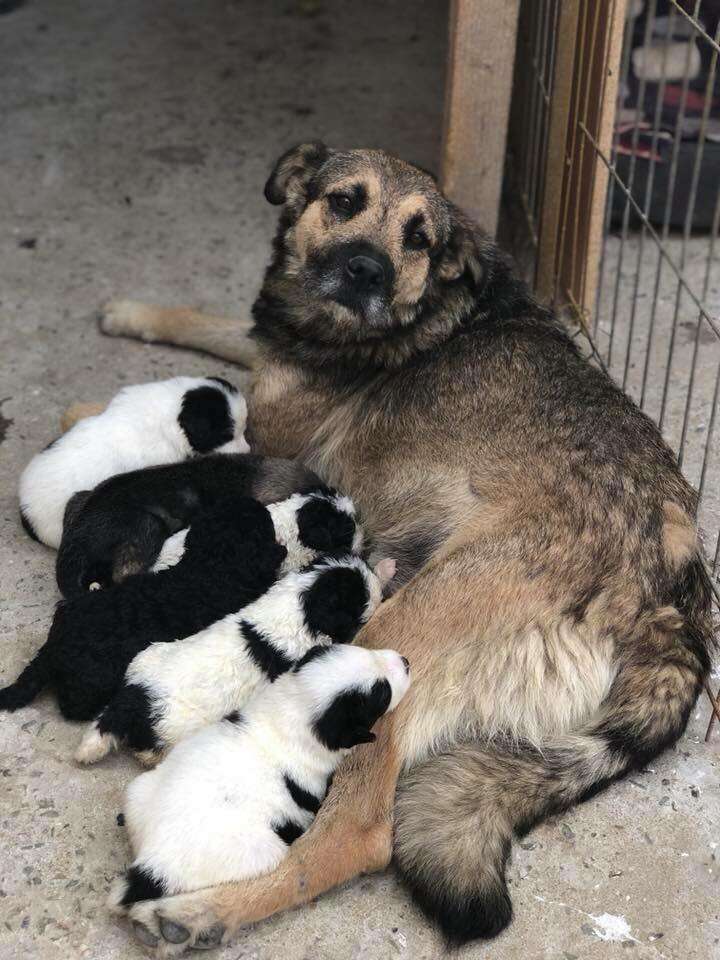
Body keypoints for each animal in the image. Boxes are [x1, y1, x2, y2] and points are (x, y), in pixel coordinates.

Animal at [107, 640, 410, 912]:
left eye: (366, 651)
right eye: (382, 693)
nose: (406, 662)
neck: (293, 713)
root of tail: (151, 860)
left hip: (139, 788)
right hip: (265, 850)